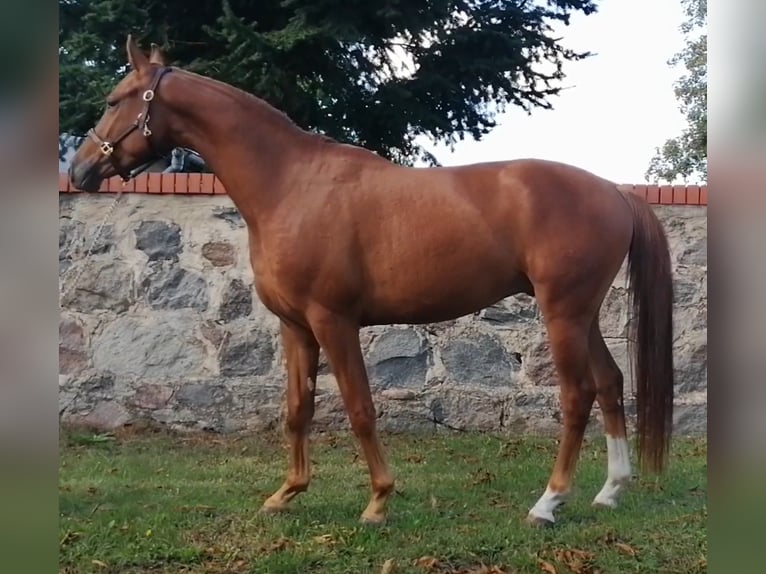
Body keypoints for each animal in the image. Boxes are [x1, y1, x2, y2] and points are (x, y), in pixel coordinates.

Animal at [68, 35, 675, 527]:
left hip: (562, 313)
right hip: (582, 315)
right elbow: (297, 409)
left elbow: (360, 409)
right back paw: (609, 491)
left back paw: (548, 503)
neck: (290, 184)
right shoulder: (295, 327)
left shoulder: (333, 321)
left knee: (577, 395)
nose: (79, 170)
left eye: (114, 100)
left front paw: (379, 500)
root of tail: (614, 190)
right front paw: (286, 493)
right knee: (610, 383)